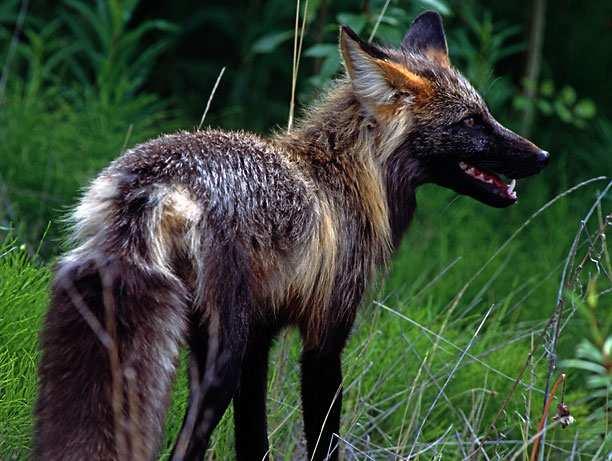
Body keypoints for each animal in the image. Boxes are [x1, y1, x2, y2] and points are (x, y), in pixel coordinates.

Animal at [34, 9, 548, 460]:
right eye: (471, 122)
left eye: (487, 112)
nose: (541, 156)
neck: (342, 180)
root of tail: (158, 183)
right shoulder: (325, 335)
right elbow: (323, 441)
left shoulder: (261, 338)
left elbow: (252, 441)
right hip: (217, 363)